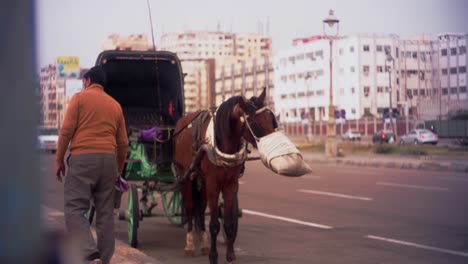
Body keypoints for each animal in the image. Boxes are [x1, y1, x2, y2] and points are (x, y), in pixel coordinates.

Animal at [174, 88, 278, 264]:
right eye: (255, 123)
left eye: (271, 119)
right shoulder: (213, 185)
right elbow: (214, 224)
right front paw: (213, 256)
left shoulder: (231, 184)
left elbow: (228, 222)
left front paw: (230, 256)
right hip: (185, 176)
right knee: (189, 208)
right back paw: (189, 245)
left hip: (201, 180)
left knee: (200, 209)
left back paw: (203, 242)